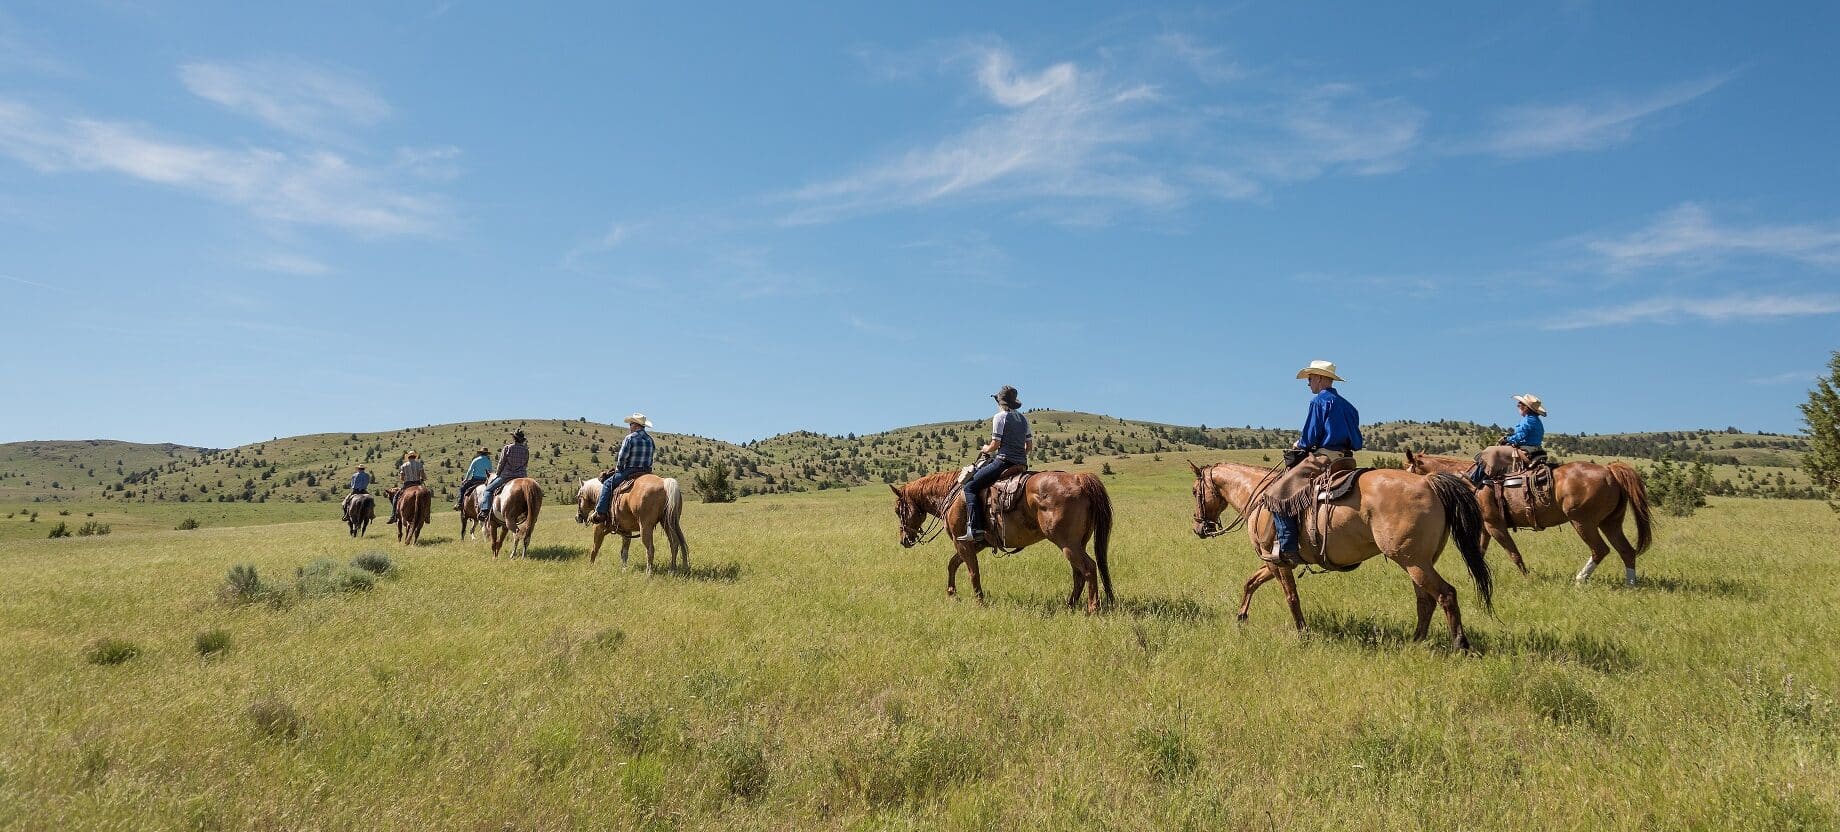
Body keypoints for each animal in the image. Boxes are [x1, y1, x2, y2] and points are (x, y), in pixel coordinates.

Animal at [886, 471, 1111, 614]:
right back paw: (1070, 605)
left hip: (1067, 544)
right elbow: (953, 564)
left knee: (1089, 568)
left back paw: (1092, 608)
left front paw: (979, 602)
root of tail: (1079, 479)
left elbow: (972, 572)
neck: (953, 496)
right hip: (1077, 543)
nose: (904, 540)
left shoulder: (963, 543)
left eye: (898, 510)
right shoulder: (976, 544)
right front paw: (952, 594)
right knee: (1078, 574)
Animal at [1192, 462, 1494, 651]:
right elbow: (1250, 583)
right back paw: (1416, 642)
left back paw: (1460, 645)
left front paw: (1303, 633)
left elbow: (1291, 597)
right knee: (1426, 601)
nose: (1198, 528)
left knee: (1445, 594)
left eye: (1195, 491)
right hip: (1418, 563)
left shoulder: (1276, 561)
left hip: (1413, 561)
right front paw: (1241, 618)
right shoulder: (1274, 561)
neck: (1258, 497)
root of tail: (1428, 481)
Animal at [1405, 449, 1656, 585]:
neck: (1472, 482)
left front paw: (1527, 578)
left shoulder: (1495, 526)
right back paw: (1630, 584)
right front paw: (1474, 576)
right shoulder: (1486, 527)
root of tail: (1609, 470)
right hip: (1610, 523)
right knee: (1626, 551)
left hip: (1583, 522)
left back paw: (1579, 580)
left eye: (1408, 468)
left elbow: (1513, 553)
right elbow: (1480, 552)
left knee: (1600, 550)